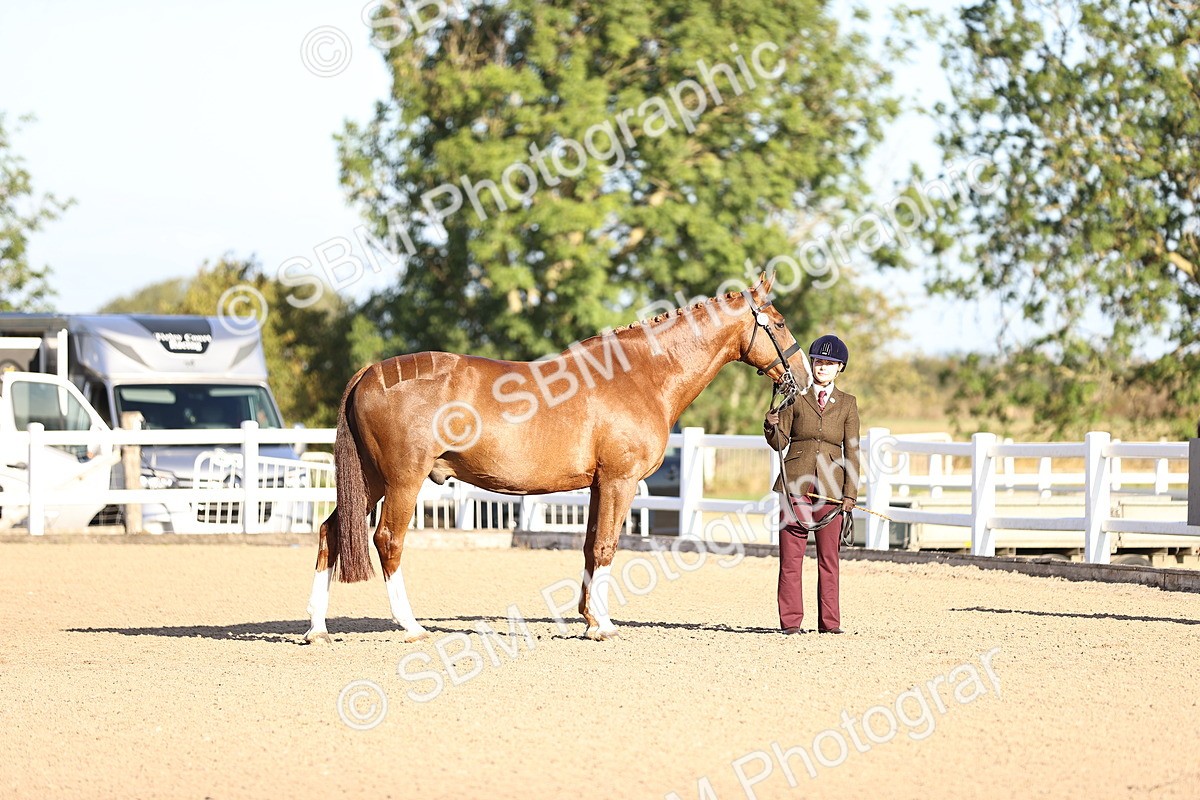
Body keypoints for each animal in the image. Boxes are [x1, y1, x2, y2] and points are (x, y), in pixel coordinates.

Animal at [303, 273, 811, 643]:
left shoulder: (598, 485)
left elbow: (590, 547)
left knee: (330, 532)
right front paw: (602, 626)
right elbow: (606, 547)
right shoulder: (619, 482)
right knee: (388, 540)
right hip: (402, 481)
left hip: (369, 481)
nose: (805, 377)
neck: (641, 375)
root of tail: (370, 371)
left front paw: (588, 618)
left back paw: (317, 629)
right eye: (780, 321)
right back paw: (410, 626)